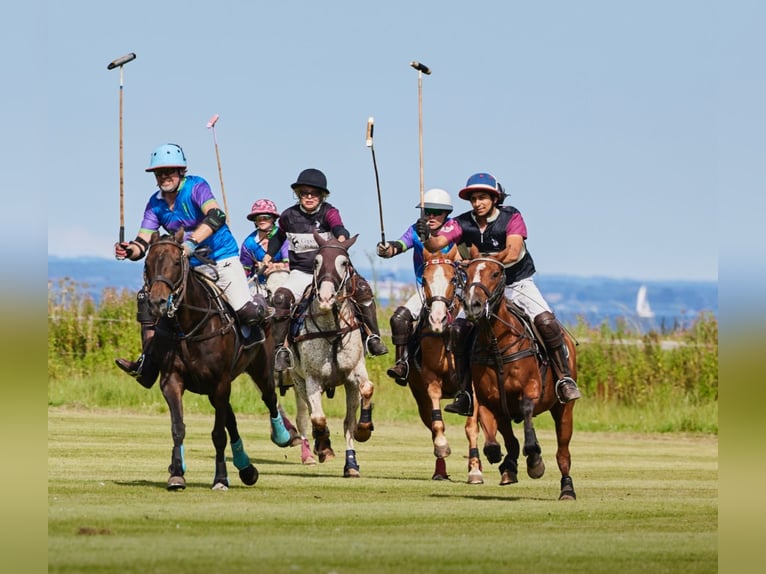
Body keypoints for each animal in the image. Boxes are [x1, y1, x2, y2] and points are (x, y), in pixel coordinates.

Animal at [141, 232, 296, 492]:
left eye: (176, 262)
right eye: (147, 263)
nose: (157, 303)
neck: (188, 327)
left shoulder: (221, 383)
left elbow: (218, 434)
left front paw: (221, 479)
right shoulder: (171, 381)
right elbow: (178, 428)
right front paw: (176, 474)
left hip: (259, 370)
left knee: (269, 398)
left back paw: (283, 436)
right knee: (231, 418)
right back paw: (247, 469)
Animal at [286, 232, 376, 480]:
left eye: (344, 263)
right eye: (316, 261)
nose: (326, 298)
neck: (332, 329)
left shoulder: (354, 374)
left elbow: (366, 390)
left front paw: (364, 429)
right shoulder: (311, 379)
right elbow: (318, 418)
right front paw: (324, 446)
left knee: (347, 422)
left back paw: (351, 464)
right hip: (297, 381)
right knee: (309, 414)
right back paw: (319, 446)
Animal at [408, 248, 510, 486]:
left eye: (454, 279)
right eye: (424, 278)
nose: (437, 319)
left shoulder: (472, 386)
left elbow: (471, 428)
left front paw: (475, 470)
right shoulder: (430, 378)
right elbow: (437, 422)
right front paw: (442, 446)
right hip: (419, 397)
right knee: (431, 422)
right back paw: (440, 470)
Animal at [460, 245, 580, 502]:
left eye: (495, 273)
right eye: (467, 273)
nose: (473, 305)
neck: (496, 343)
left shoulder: (531, 389)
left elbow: (526, 411)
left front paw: (535, 460)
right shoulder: (488, 400)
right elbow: (494, 443)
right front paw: (504, 461)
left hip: (564, 410)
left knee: (563, 453)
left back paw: (567, 489)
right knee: (511, 441)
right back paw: (509, 467)